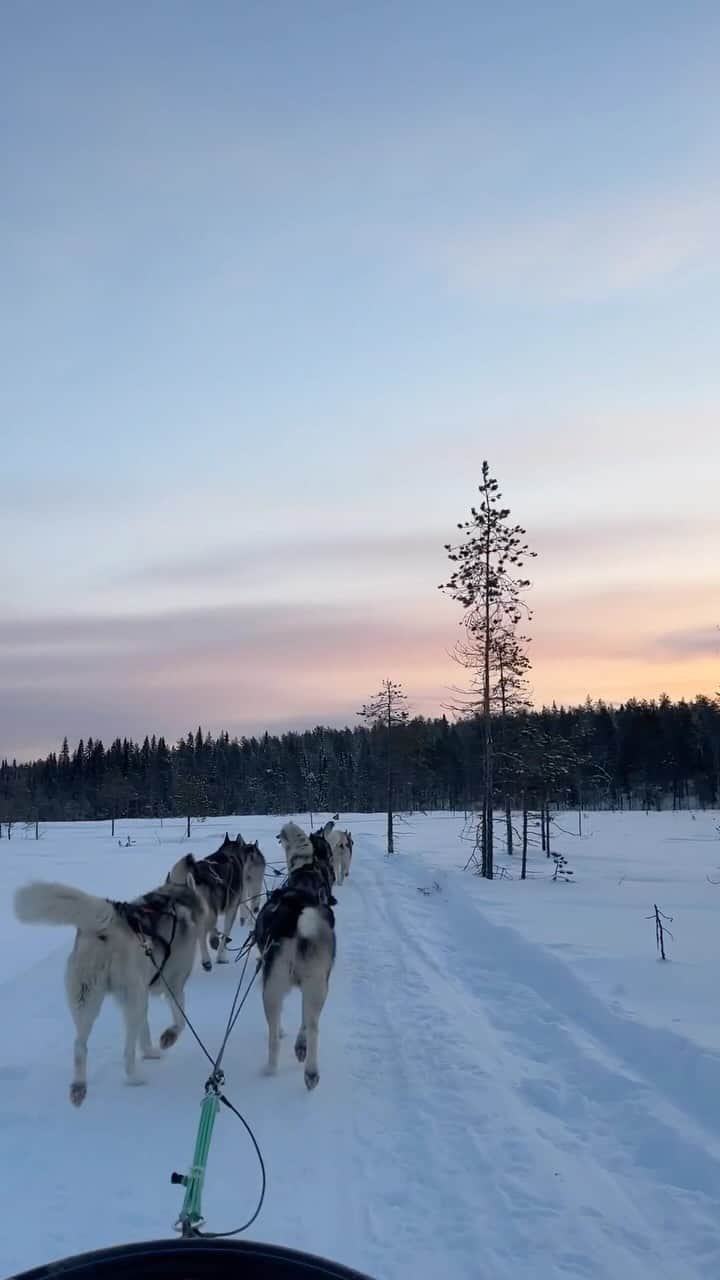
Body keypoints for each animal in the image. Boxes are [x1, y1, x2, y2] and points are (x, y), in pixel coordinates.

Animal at [14, 875, 206, 1105]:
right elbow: (180, 1021)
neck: (176, 899)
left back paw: (78, 1088)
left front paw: (149, 1052)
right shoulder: (174, 987)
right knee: (126, 1052)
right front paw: (169, 1037)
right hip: (133, 997)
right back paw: (134, 1078)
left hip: (88, 999)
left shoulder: (146, 991)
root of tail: (109, 923)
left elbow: (145, 1031)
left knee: (79, 1045)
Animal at [165, 834, 263, 962]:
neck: (230, 854)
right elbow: (225, 933)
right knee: (202, 933)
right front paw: (221, 955)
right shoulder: (231, 909)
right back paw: (207, 957)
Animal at [254, 819, 335, 1090]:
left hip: (273, 988)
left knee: (274, 1035)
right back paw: (310, 1070)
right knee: (312, 1025)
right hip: (316, 987)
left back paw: (271, 1068)